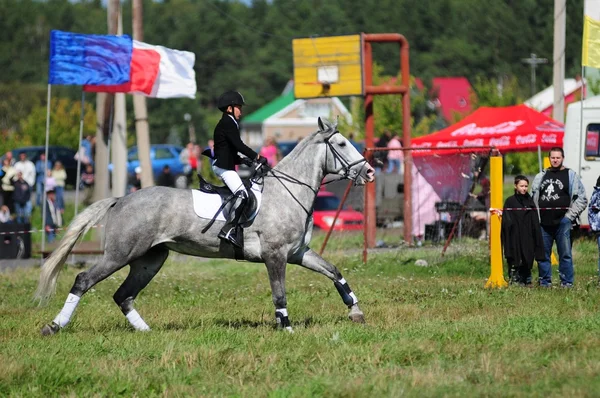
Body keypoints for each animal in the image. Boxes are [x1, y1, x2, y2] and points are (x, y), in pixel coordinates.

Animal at [35, 116, 372, 334]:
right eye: (342, 143)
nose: (368, 172)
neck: (288, 192)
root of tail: (121, 199)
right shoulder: (275, 255)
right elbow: (279, 293)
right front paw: (286, 328)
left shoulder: (297, 253)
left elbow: (334, 272)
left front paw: (356, 311)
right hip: (119, 254)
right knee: (84, 281)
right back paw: (54, 326)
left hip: (149, 259)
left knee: (123, 295)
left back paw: (146, 331)